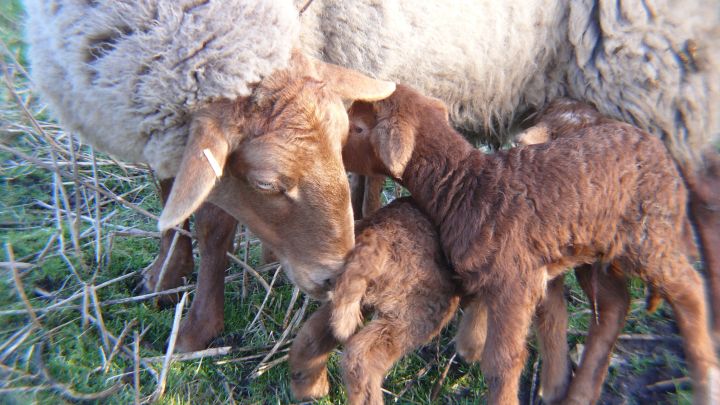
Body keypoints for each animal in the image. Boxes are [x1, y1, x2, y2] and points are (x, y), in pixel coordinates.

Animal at [25, 0, 396, 348]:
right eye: (265, 182)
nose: (334, 278)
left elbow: (212, 230)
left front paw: (195, 330)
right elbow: (170, 197)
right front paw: (164, 276)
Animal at [286, 196, 458, 404]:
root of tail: (375, 236)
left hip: (352, 296)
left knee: (311, 336)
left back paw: (311, 390)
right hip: (416, 310)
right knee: (362, 358)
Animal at [344, 83, 720, 402]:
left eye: (359, 128)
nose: (336, 148)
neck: (466, 185)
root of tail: (660, 149)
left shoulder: (514, 281)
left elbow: (503, 361)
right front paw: (471, 345)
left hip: (648, 233)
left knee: (688, 288)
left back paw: (705, 378)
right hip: (599, 246)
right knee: (615, 303)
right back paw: (577, 393)